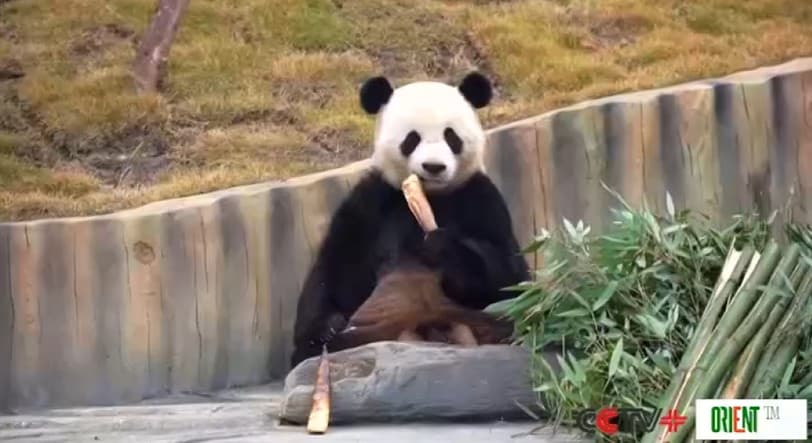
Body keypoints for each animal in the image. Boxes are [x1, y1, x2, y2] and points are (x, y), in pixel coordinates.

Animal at [289, 71, 531, 367]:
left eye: (451, 136)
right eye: (412, 139)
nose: (434, 167)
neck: (430, 195)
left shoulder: (481, 198)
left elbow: (508, 276)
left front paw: (440, 246)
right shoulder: (373, 200)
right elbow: (337, 264)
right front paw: (325, 327)